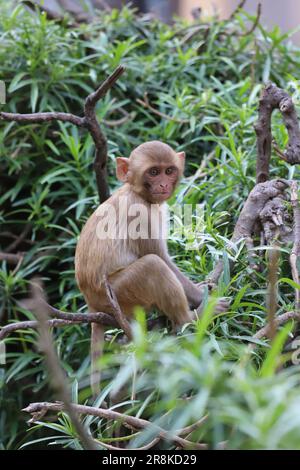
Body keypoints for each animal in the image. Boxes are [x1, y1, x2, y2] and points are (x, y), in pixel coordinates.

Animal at [74, 140, 227, 396]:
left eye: (169, 170)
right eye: (153, 172)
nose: (163, 184)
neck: (137, 193)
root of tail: (91, 302)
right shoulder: (140, 216)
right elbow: (160, 257)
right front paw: (201, 295)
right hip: (118, 294)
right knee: (152, 266)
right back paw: (190, 318)